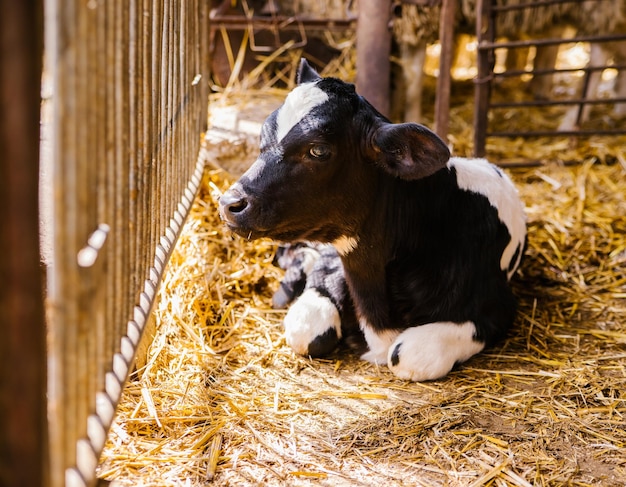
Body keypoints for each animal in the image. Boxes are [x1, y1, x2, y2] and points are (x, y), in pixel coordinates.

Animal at [217, 60, 524, 382]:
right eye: (264, 137)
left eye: (318, 150)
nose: (229, 203)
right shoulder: (332, 265)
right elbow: (307, 331)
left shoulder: (494, 307)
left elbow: (406, 354)